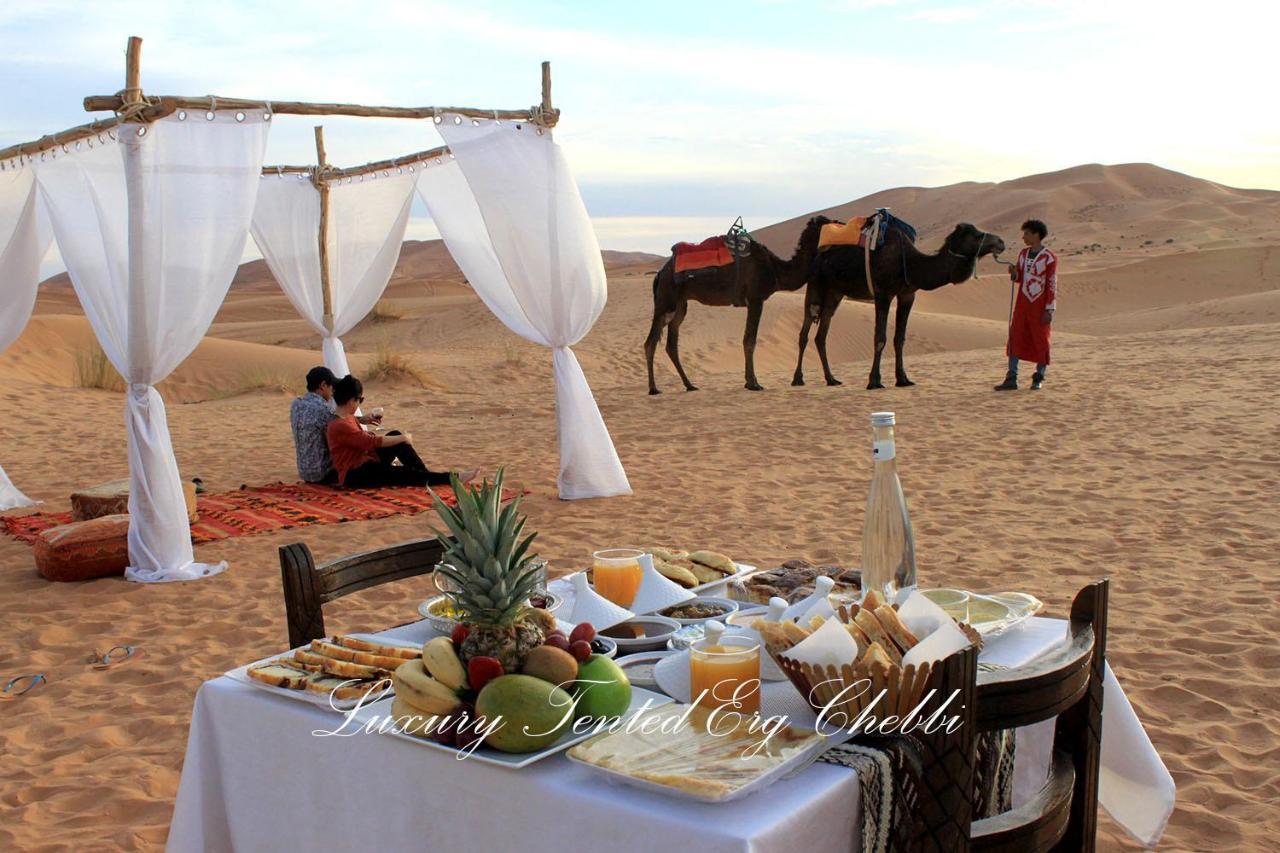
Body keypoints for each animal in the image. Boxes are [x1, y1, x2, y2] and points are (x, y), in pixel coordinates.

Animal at [645, 216, 834, 394]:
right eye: (826, 224)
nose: (839, 224)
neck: (775, 270)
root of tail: (660, 273)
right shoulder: (756, 299)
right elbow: (750, 340)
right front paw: (753, 384)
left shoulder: (752, 301)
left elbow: (747, 339)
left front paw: (749, 382)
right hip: (666, 300)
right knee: (650, 342)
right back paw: (653, 388)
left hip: (680, 305)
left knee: (671, 344)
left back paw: (689, 385)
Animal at [793, 222, 1003, 389]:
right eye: (974, 235)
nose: (1000, 242)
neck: (910, 263)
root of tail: (819, 256)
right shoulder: (883, 294)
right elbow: (880, 338)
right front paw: (874, 381)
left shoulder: (907, 295)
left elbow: (899, 338)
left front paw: (903, 379)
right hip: (815, 284)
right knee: (805, 331)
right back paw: (798, 379)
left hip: (835, 292)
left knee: (821, 334)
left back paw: (831, 379)